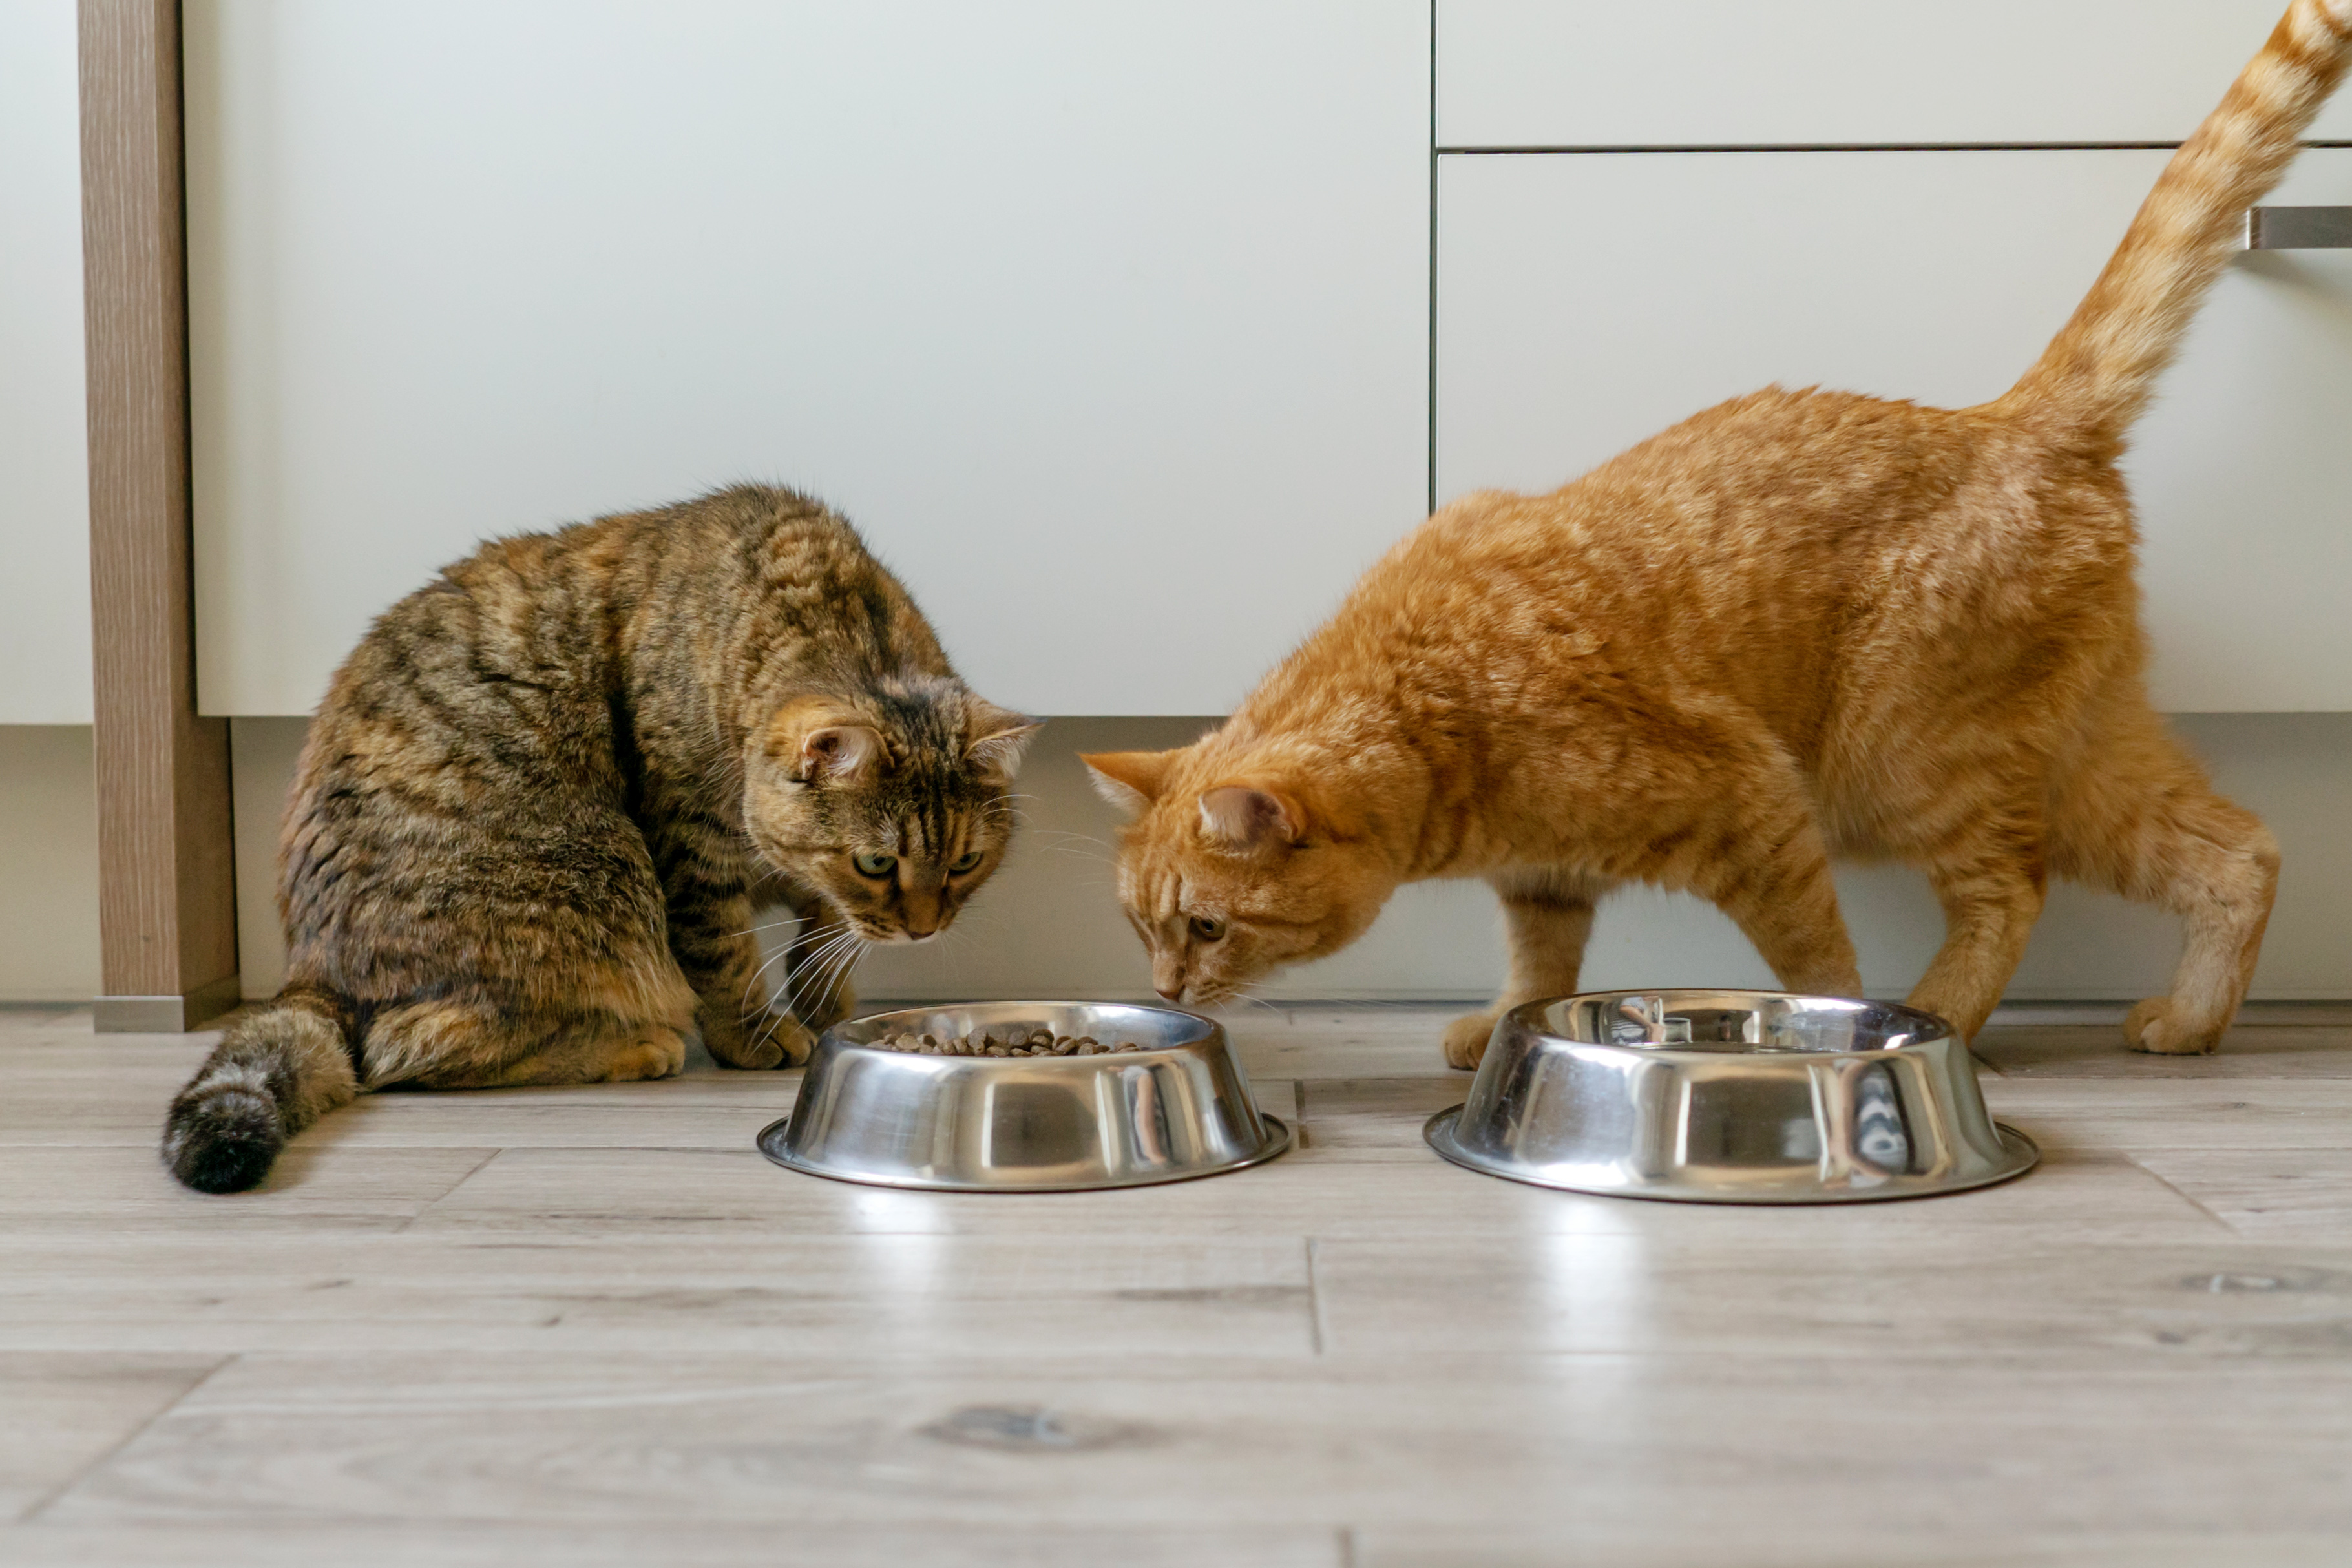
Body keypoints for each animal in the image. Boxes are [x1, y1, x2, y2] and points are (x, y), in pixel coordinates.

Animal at [165, 484, 1030, 1194]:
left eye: (965, 862)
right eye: (878, 861)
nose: (924, 928)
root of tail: (308, 969)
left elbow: (824, 936)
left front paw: (824, 1003)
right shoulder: (690, 845)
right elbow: (725, 954)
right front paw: (755, 1032)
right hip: (597, 882)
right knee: (405, 1050)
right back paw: (634, 1047)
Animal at [1086, 0, 2352, 1067]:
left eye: (1205, 926)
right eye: (1140, 925)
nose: (1165, 988)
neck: (1434, 710)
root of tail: (2015, 417)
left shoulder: (1756, 803)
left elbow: (1814, 956)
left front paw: (1830, 1026)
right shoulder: (1544, 880)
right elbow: (1540, 965)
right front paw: (1504, 1026)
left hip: (1901, 762)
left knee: (2011, 888)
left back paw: (1940, 1015)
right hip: (2080, 757)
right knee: (2239, 851)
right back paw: (2192, 1019)